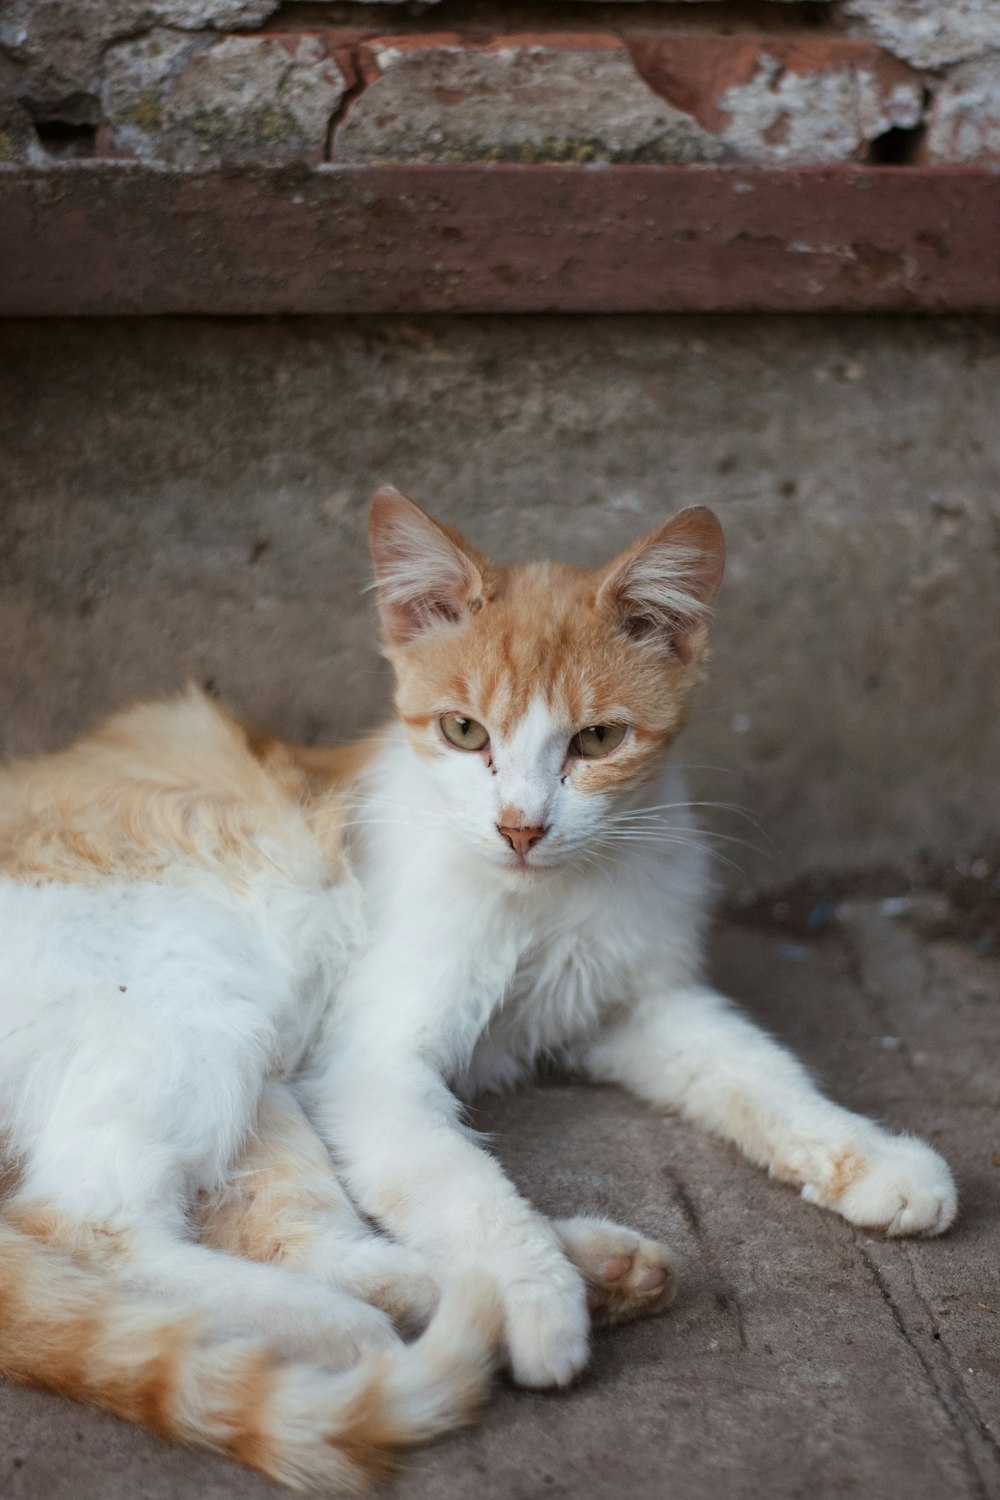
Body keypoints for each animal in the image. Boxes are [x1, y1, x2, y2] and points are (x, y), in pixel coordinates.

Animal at [0, 492, 953, 1488]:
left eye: (598, 740)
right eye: (465, 732)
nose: (521, 827)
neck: (545, 899)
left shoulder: (634, 1004)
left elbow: (760, 1073)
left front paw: (871, 1155)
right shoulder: (370, 1064)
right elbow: (465, 1187)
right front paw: (536, 1298)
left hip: (260, 1074)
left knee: (288, 1231)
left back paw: (581, 1273)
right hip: (198, 998)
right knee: (86, 1221)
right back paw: (385, 1321)